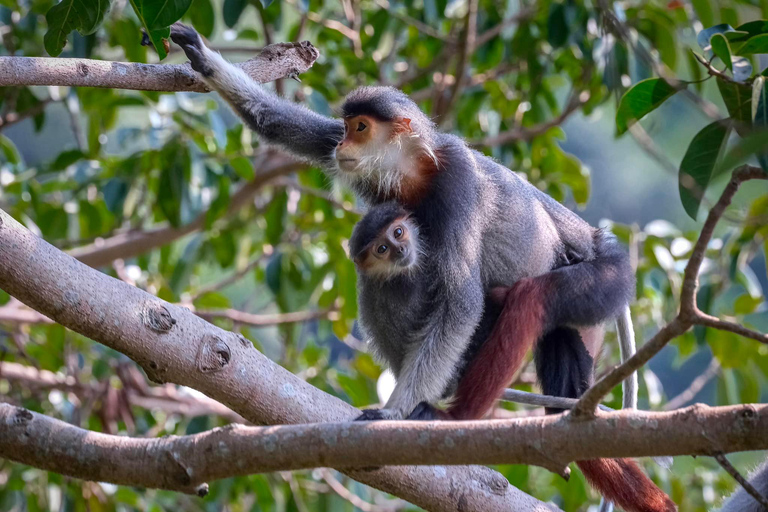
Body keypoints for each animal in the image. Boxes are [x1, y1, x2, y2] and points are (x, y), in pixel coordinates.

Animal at [172, 22, 672, 510]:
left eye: (360, 127)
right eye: (346, 129)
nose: (344, 143)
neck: (416, 174)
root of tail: (598, 242)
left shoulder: (456, 182)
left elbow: (462, 300)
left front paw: (395, 412)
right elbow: (278, 124)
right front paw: (202, 56)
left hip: (606, 281)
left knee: (531, 296)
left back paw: (455, 418)